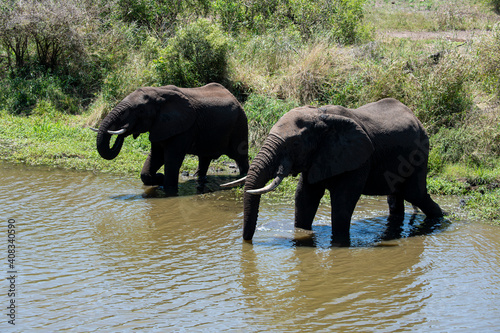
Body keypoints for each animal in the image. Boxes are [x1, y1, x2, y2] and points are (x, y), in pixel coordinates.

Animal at [90, 82, 250, 196]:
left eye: (140, 110)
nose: (124, 131)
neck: (157, 93)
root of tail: (235, 97)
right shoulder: (161, 126)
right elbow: (155, 157)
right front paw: (158, 179)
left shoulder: (184, 128)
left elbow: (172, 159)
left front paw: (167, 187)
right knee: (204, 158)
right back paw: (199, 179)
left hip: (240, 124)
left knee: (240, 156)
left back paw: (242, 178)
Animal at [225, 97, 444, 245]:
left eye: (295, 144)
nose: (248, 242)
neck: (321, 116)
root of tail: (415, 117)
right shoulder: (317, 157)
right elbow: (304, 197)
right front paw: (301, 233)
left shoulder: (359, 160)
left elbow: (342, 200)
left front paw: (339, 243)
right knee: (396, 198)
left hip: (420, 152)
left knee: (415, 193)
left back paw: (440, 219)